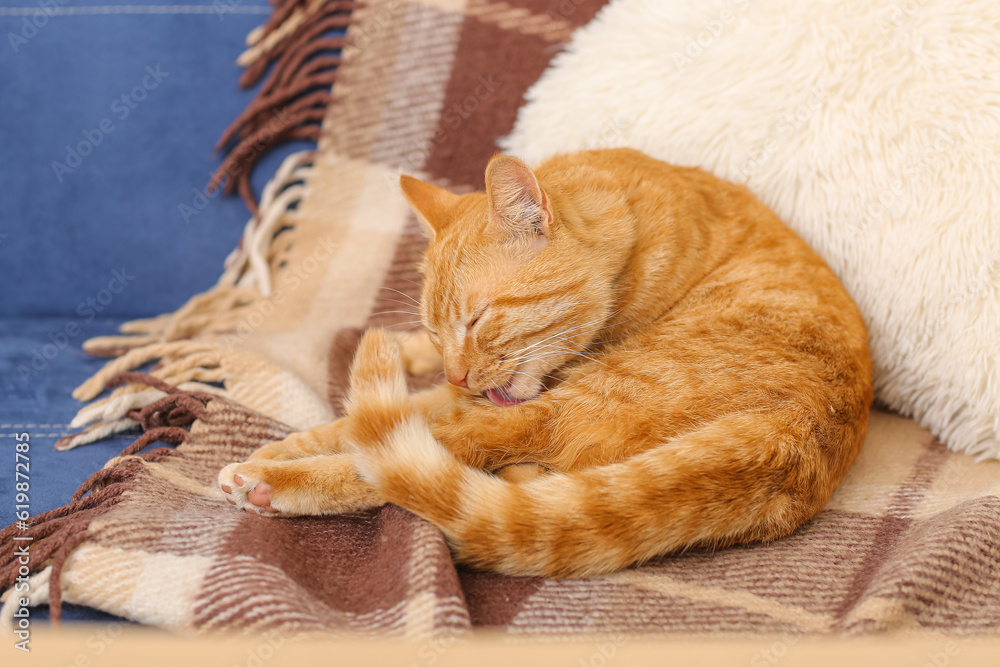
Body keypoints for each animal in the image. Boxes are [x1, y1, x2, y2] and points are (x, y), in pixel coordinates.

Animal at [221, 149, 876, 576]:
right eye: (437, 327)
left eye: (477, 320)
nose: (456, 371)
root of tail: (786, 443)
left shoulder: (488, 397)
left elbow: (391, 422)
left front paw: (283, 454)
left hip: (585, 396)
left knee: (431, 453)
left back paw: (267, 480)